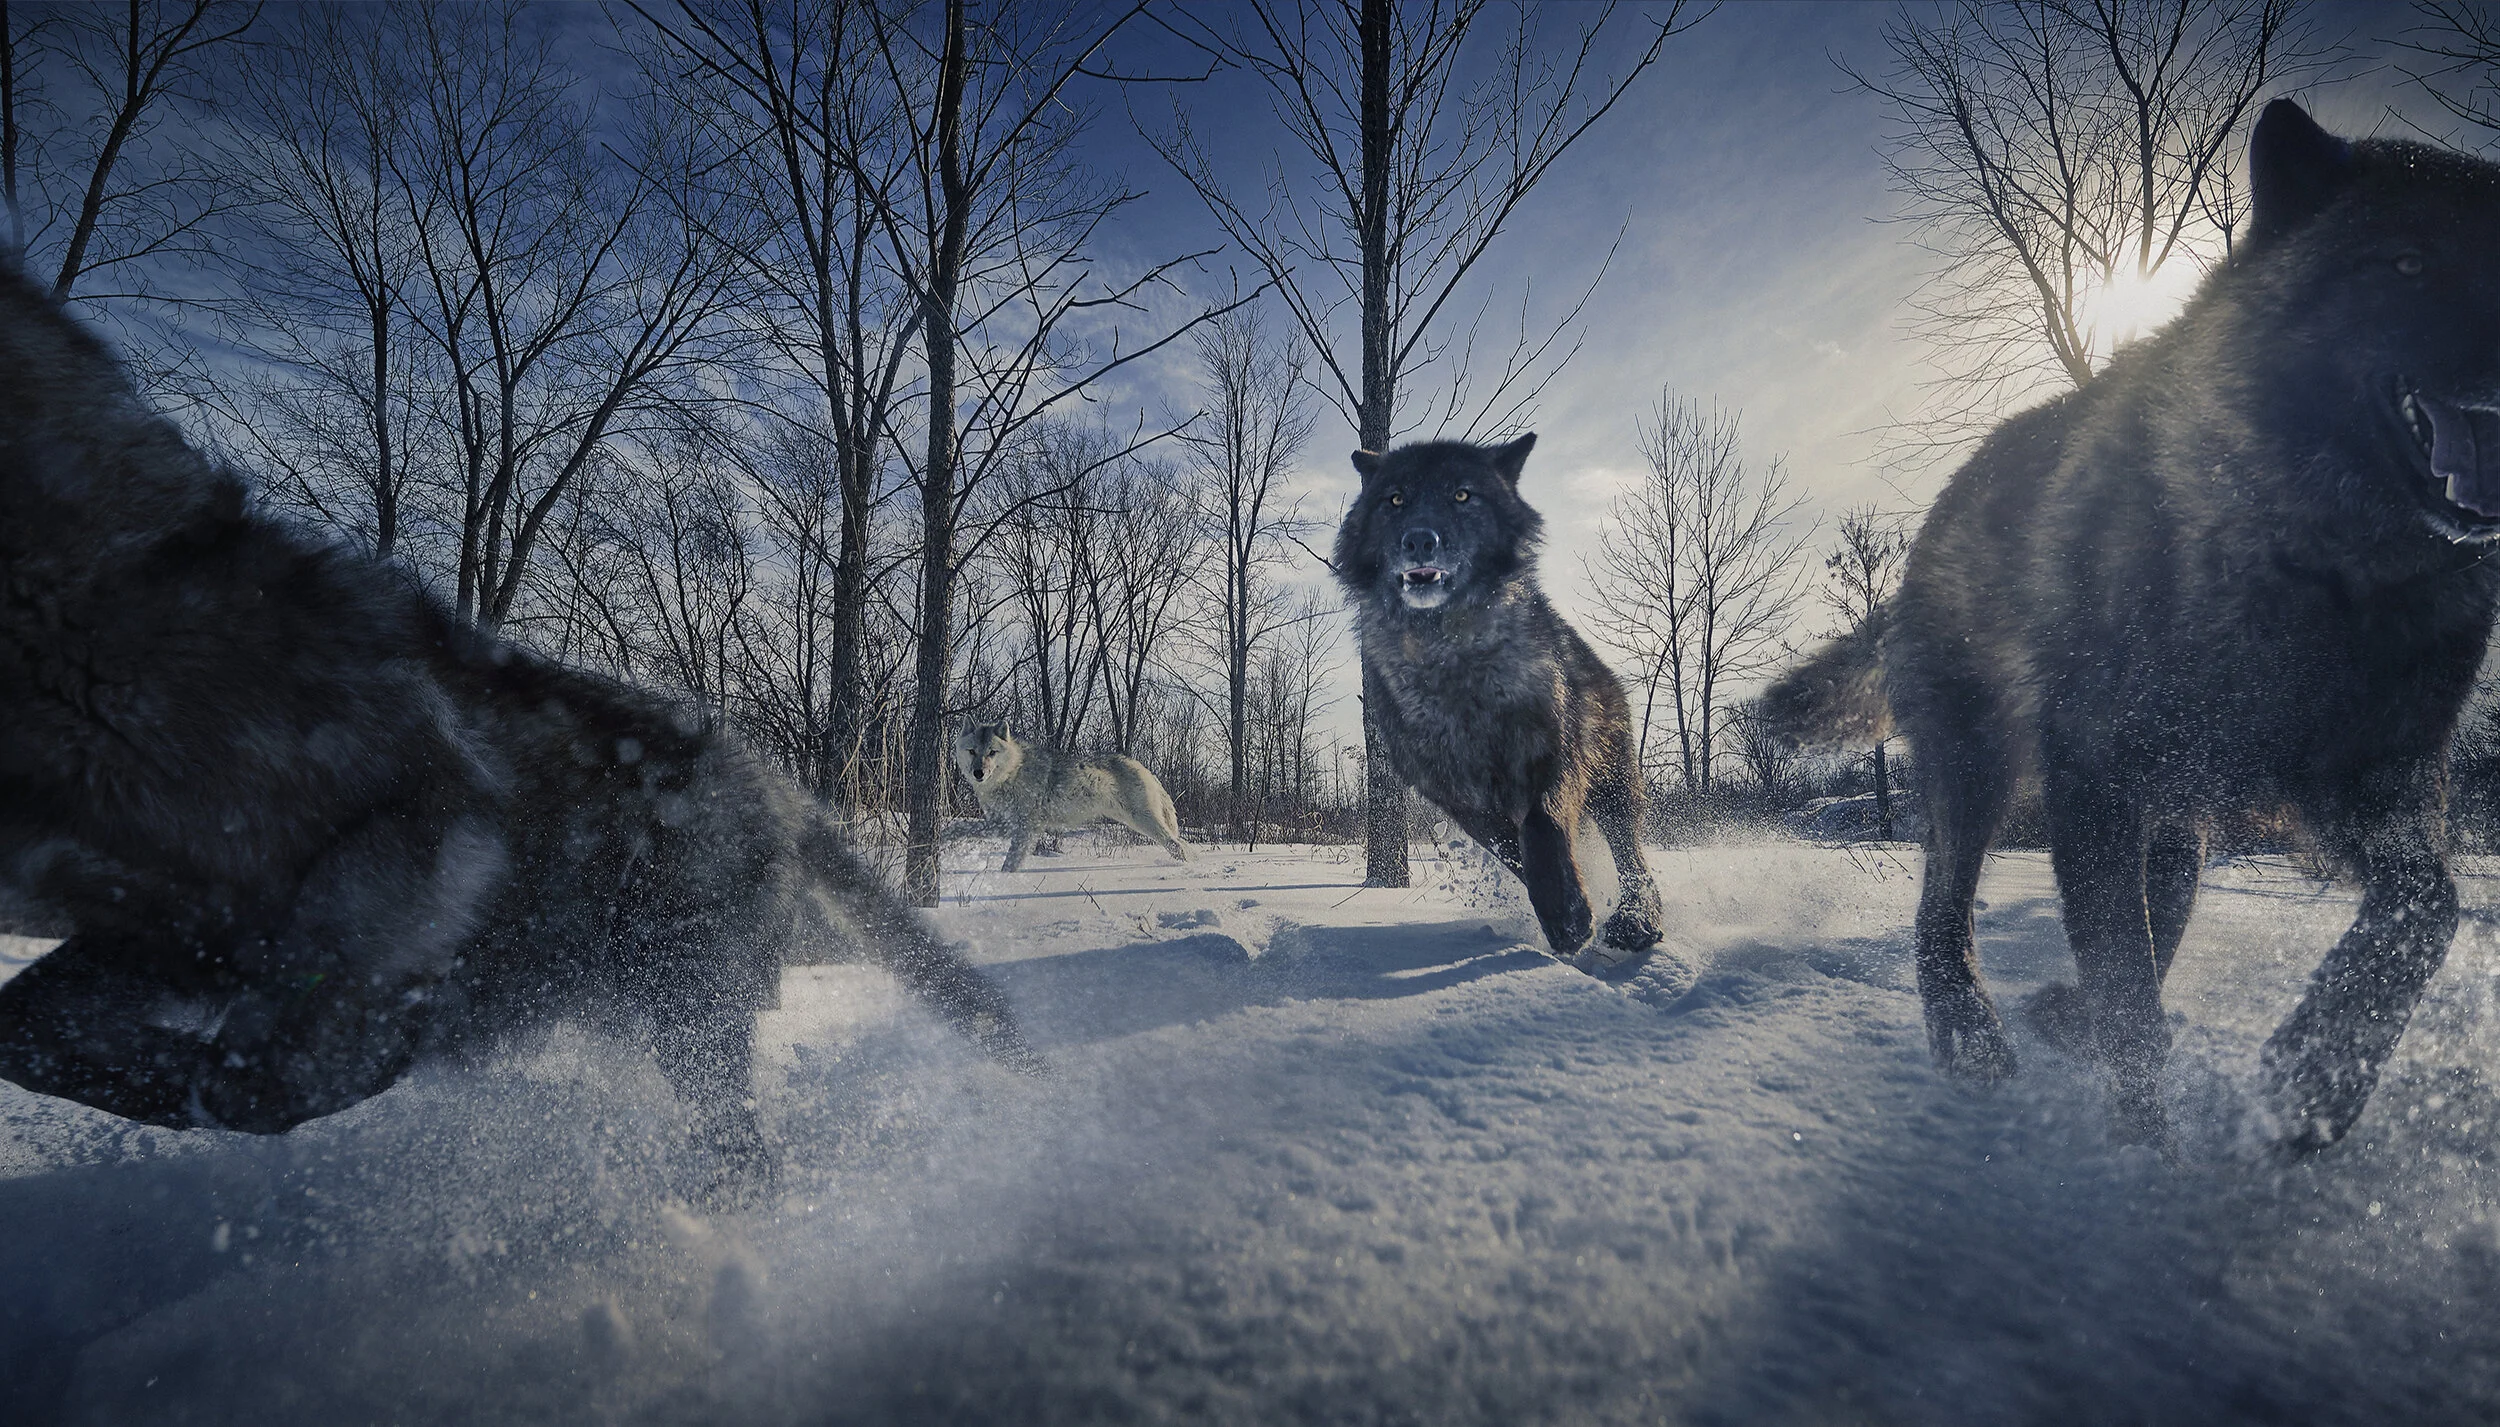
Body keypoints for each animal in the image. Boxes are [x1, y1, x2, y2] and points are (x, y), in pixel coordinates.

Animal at [0, 266, 1042, 1196]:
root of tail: (777, 784)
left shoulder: (416, 815)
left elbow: (259, 1067)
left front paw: (352, 1057)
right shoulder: (154, 931)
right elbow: (37, 1036)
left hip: (681, 1007)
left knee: (745, 1157)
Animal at [950, 724, 1190, 870]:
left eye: (992, 752)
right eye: (972, 751)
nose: (978, 773)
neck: (1013, 773)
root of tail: (1144, 768)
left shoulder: (1025, 828)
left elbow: (1009, 864)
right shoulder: (1002, 825)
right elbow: (960, 829)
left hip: (1143, 821)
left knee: (1177, 844)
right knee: (1178, 842)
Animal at [1332, 434, 1665, 959]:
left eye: (1462, 495)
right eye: (1396, 499)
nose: (1420, 540)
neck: (1450, 656)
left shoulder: (1553, 753)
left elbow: (1541, 825)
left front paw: (1569, 915)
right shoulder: (1456, 796)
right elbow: (1512, 850)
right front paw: (1564, 909)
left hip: (1611, 780)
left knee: (1630, 852)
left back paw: (1638, 920)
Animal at [1764, 100, 2500, 1149]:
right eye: (2406, 263)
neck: (2326, 571)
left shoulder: (2388, 785)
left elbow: (2425, 909)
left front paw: (2311, 1079)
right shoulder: (2095, 775)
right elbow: (2129, 999)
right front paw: (2143, 1163)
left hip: (2176, 828)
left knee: (2151, 930)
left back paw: (2057, 1021)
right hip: (1984, 777)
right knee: (1943, 910)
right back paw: (1972, 1037)